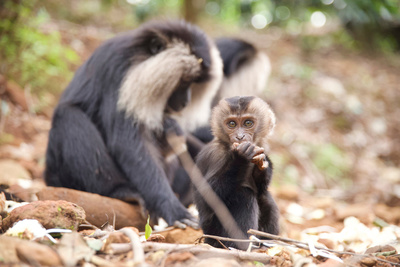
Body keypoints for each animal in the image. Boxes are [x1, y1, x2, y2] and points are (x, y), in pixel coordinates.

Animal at [46, 19, 225, 227]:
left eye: (194, 84)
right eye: (183, 81)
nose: (185, 102)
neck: (136, 57)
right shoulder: (119, 73)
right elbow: (129, 143)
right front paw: (171, 206)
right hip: (60, 176)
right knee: (68, 116)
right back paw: (119, 191)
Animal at [194, 96, 278, 249]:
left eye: (248, 123)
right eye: (232, 124)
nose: (240, 137)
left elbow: (261, 188)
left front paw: (262, 164)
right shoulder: (215, 155)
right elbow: (206, 197)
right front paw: (240, 158)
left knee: (264, 198)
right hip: (213, 234)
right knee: (243, 194)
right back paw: (240, 246)